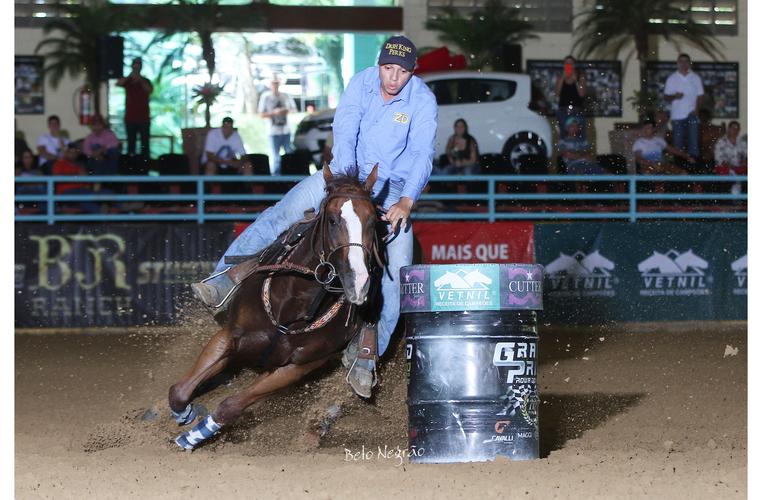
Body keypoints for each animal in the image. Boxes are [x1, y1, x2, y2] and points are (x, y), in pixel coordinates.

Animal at [168, 164, 380, 450]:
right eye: (333, 220)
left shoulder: (296, 368)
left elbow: (230, 406)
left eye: (373, 221)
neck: (293, 303)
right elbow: (179, 392)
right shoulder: (230, 336)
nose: (357, 282)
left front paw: (191, 436)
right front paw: (186, 415)